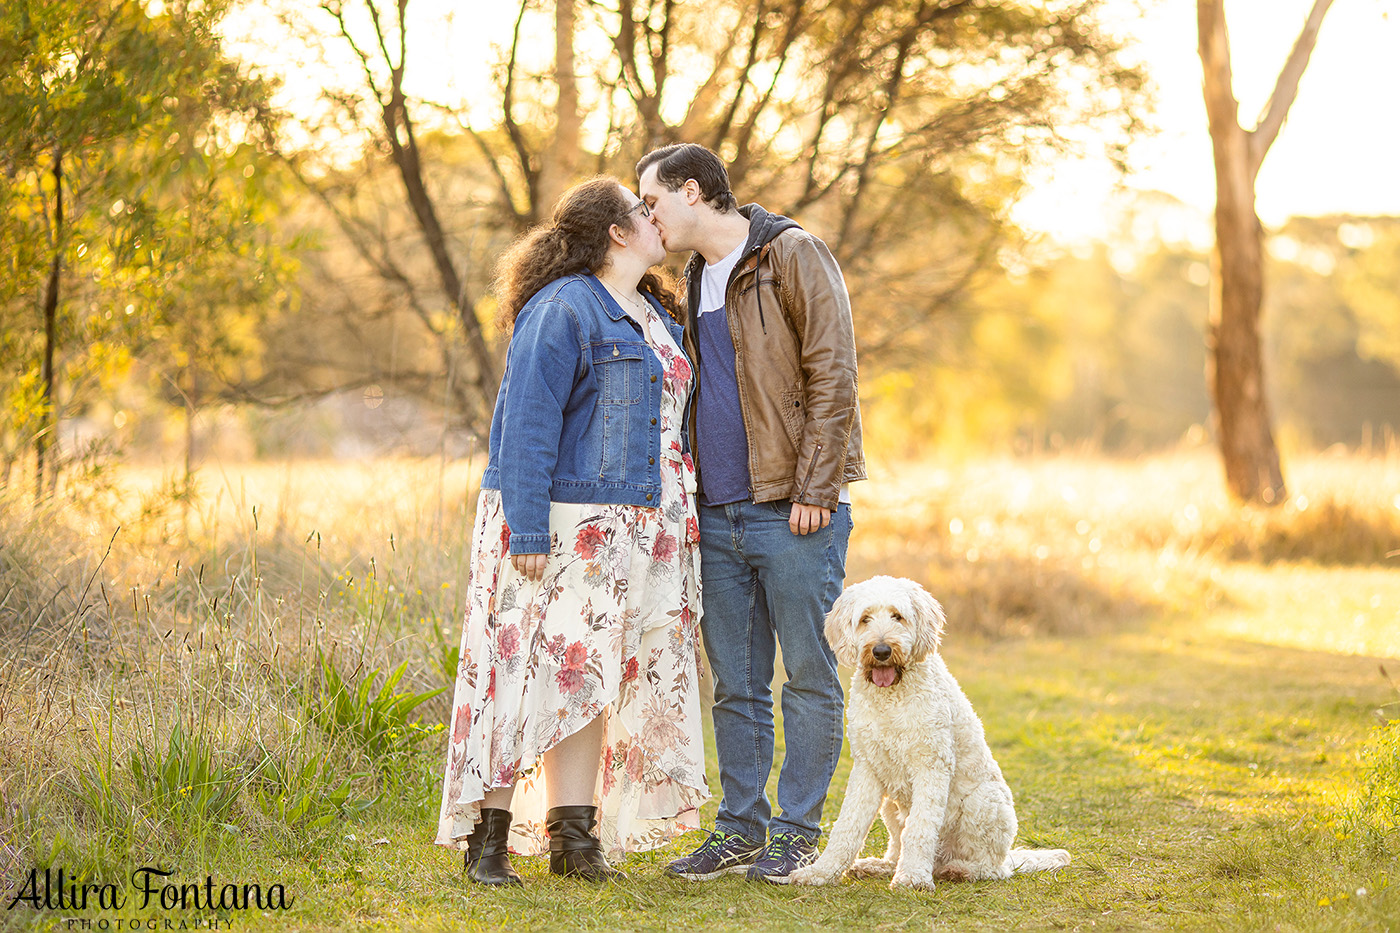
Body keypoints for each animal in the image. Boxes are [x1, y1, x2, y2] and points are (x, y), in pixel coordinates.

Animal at [789, 574, 1069, 885]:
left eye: (897, 616)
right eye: (865, 619)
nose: (881, 651)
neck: (892, 696)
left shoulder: (931, 764)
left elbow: (919, 828)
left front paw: (911, 878)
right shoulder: (868, 767)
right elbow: (847, 826)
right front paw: (820, 873)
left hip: (984, 803)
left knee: (993, 868)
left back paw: (961, 870)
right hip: (890, 803)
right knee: (897, 846)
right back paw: (880, 865)